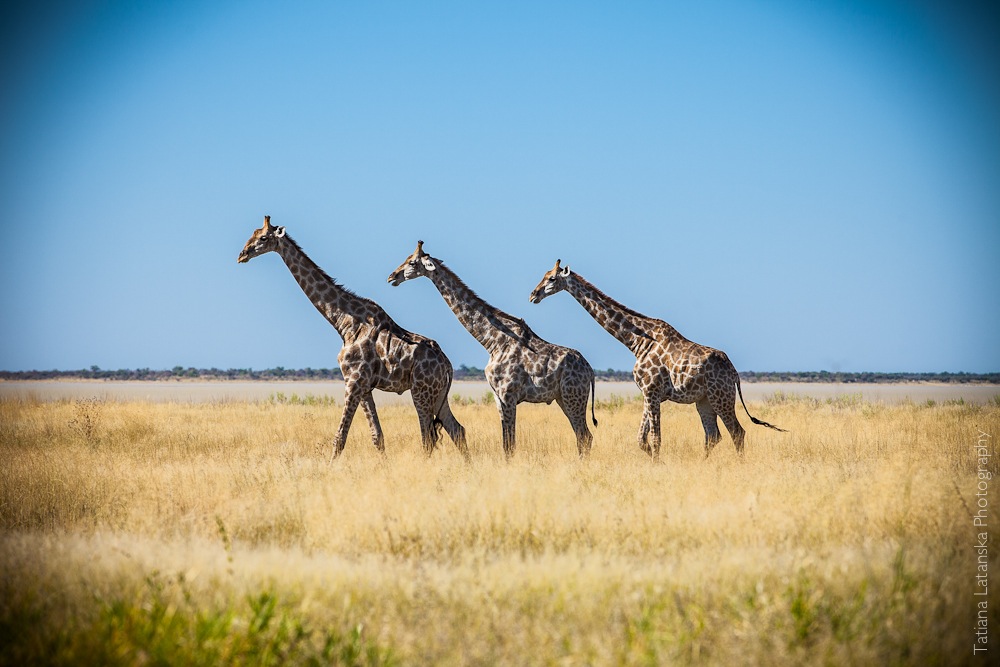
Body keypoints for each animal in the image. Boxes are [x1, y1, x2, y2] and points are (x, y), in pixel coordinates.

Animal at [238, 217, 468, 462]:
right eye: (253, 234)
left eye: (263, 238)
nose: (242, 254)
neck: (344, 323)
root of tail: (448, 366)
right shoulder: (365, 386)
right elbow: (377, 436)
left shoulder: (353, 380)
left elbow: (340, 437)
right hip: (439, 394)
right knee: (457, 430)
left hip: (421, 391)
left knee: (428, 437)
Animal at [388, 243, 592, 462]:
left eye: (412, 262)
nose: (392, 277)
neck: (492, 342)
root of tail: (590, 371)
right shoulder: (498, 397)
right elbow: (507, 443)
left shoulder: (508, 394)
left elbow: (509, 444)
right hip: (563, 398)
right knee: (583, 435)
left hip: (573, 397)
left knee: (584, 435)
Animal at [528, 260, 784, 460]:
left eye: (551, 278)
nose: (533, 295)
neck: (636, 342)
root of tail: (735, 373)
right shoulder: (649, 393)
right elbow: (642, 440)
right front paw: (653, 461)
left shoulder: (651, 390)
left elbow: (655, 438)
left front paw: (657, 466)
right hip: (704, 400)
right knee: (713, 436)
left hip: (721, 397)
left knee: (737, 433)